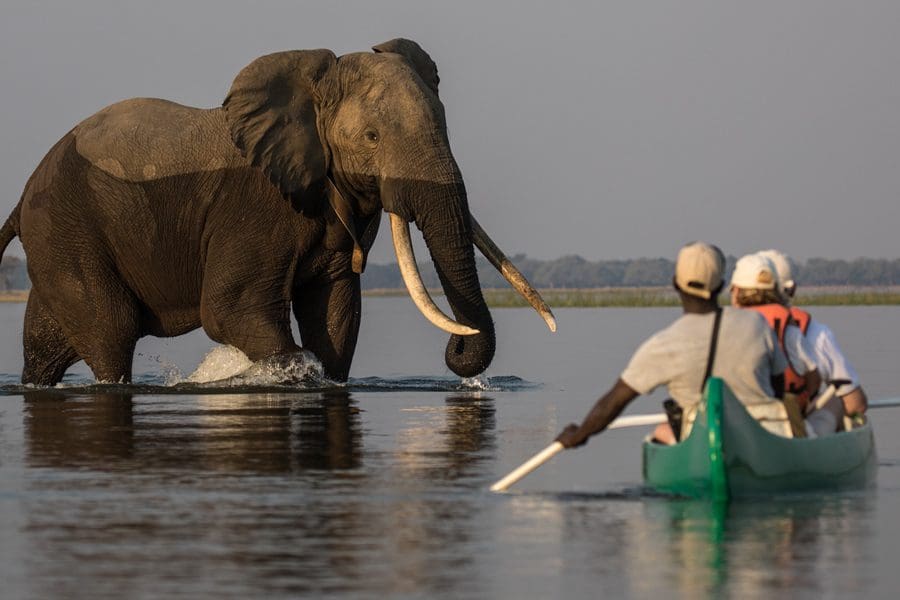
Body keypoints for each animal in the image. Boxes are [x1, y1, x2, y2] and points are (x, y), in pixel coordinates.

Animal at [0, 38, 556, 384]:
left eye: (444, 123)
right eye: (372, 138)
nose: (458, 350)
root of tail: (23, 197)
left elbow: (335, 315)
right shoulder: (253, 206)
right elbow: (231, 310)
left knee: (47, 345)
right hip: (66, 228)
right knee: (111, 333)